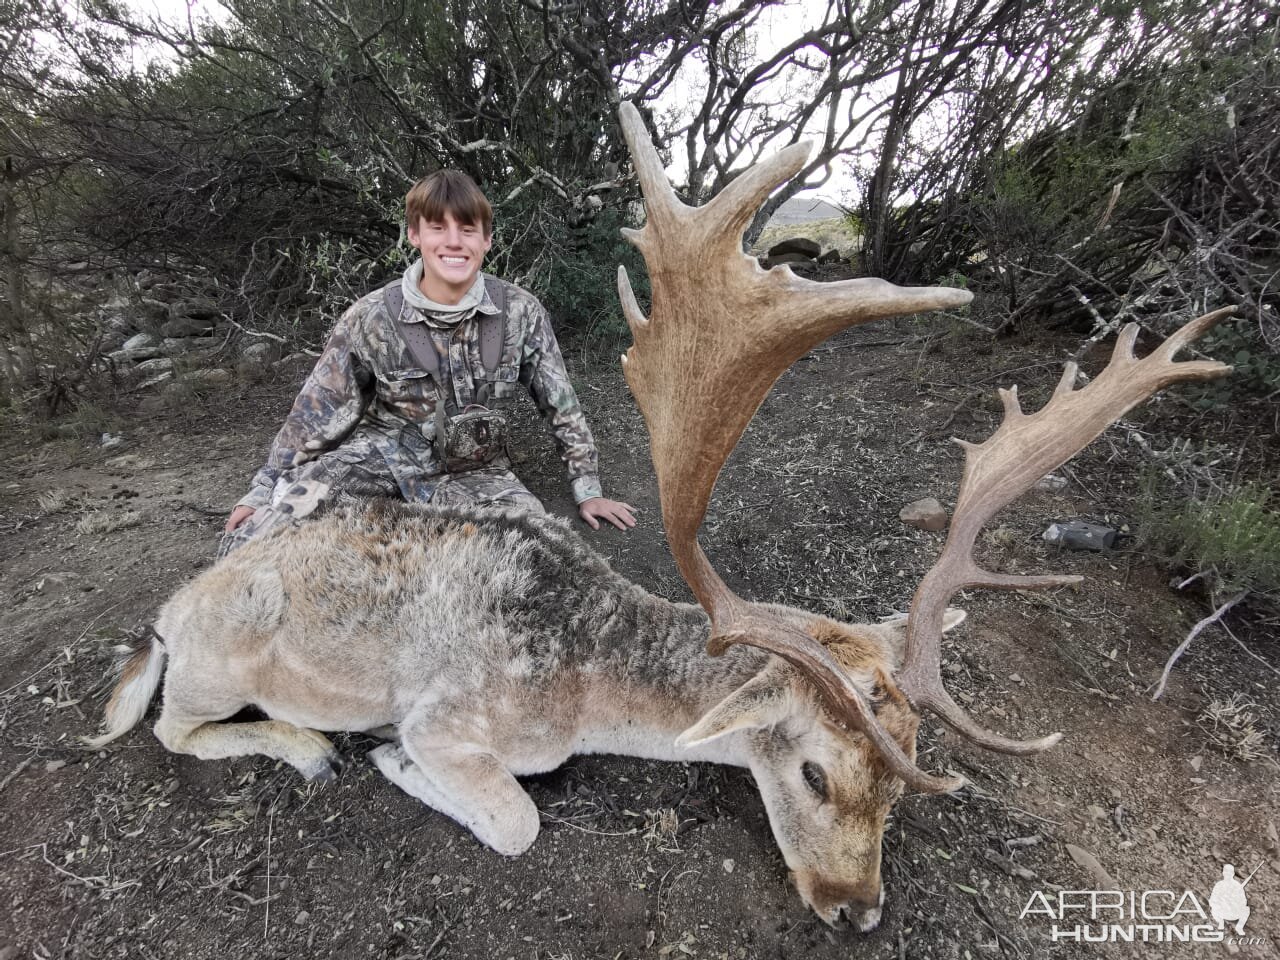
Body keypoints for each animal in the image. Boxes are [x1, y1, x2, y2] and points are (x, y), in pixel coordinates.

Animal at [90, 99, 1228, 931]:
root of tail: (166, 616)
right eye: (813, 772)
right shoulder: (455, 717)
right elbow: (513, 820)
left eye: (897, 791)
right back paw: (307, 746)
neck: (587, 683)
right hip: (219, 658)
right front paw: (384, 757)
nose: (856, 912)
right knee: (171, 724)